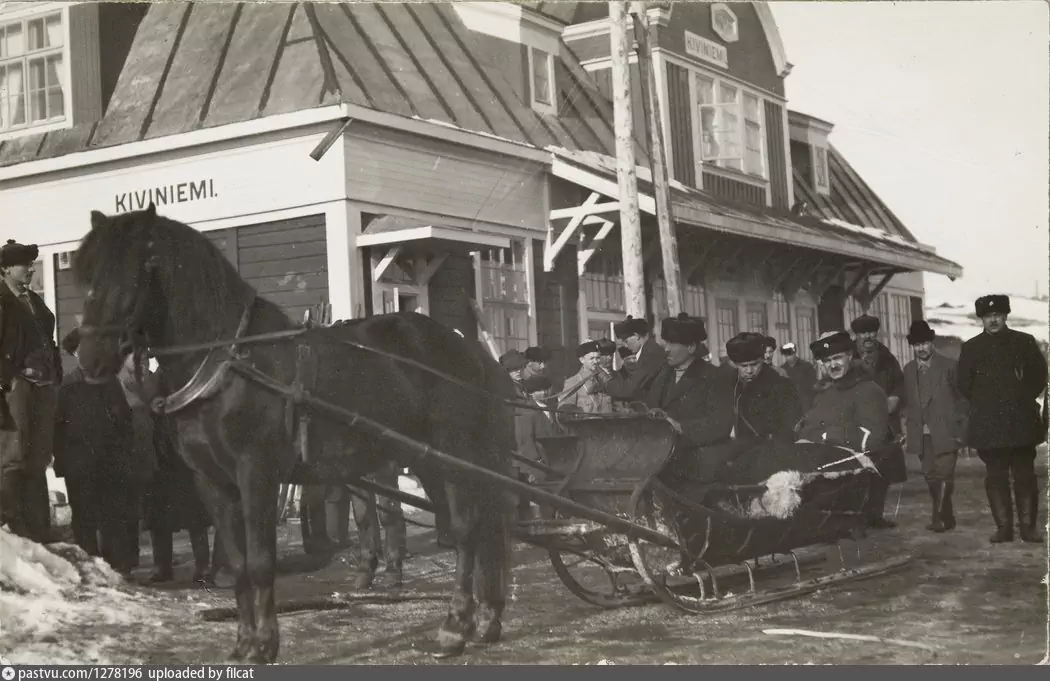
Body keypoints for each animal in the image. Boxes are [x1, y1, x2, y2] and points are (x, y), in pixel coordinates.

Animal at [72, 204, 516, 663]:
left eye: (134, 272)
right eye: (87, 277)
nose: (88, 359)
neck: (227, 364)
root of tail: (469, 351)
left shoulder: (257, 473)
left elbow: (259, 562)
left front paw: (265, 643)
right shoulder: (212, 482)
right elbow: (237, 564)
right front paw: (243, 642)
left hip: (453, 454)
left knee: (466, 531)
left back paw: (455, 627)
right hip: (429, 460)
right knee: (480, 528)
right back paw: (486, 619)